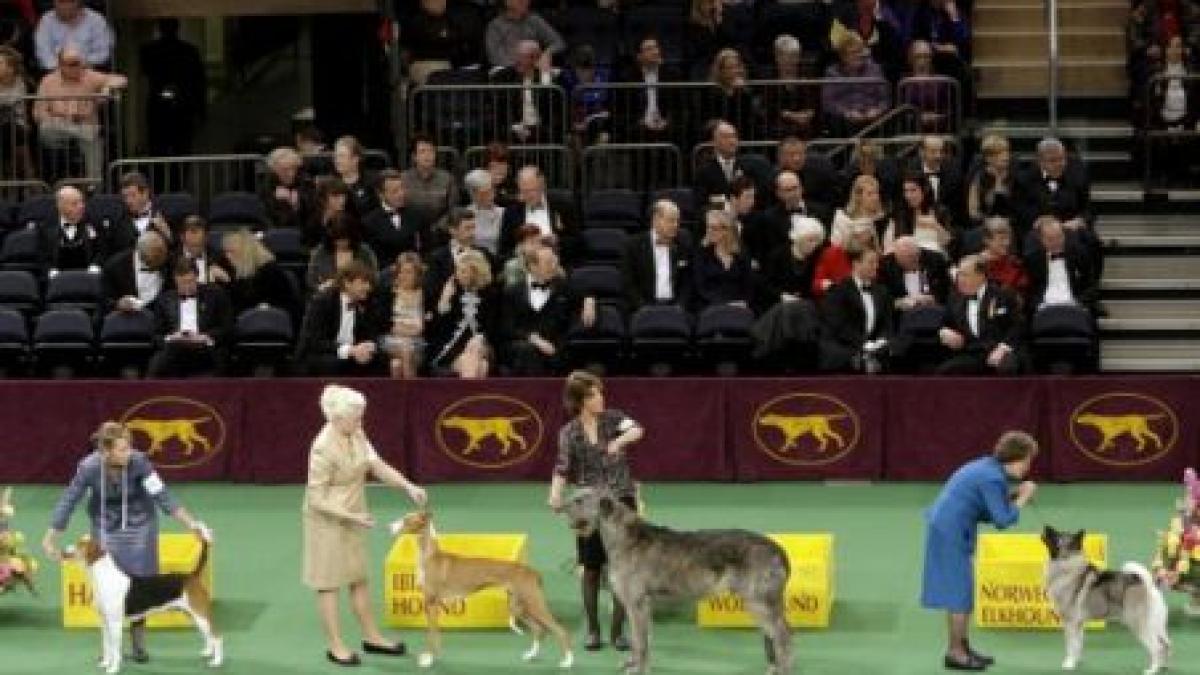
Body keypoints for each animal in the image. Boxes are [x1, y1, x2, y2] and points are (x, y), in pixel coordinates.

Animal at [66, 528, 224, 667]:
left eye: (80, 545)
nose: (65, 549)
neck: (105, 576)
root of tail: (192, 575)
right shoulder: (105, 622)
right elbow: (107, 646)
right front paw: (105, 663)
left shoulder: (115, 622)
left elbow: (115, 649)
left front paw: (113, 668)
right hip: (192, 615)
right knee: (208, 636)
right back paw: (208, 653)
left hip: (200, 615)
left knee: (216, 637)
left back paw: (216, 662)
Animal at [386, 511, 568, 662]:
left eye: (407, 519)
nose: (389, 526)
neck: (429, 556)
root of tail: (532, 571)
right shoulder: (434, 603)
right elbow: (436, 633)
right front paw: (433, 656)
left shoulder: (431, 602)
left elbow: (431, 634)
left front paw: (429, 659)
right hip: (519, 606)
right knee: (539, 630)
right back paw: (531, 655)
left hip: (534, 603)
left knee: (559, 629)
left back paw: (567, 662)